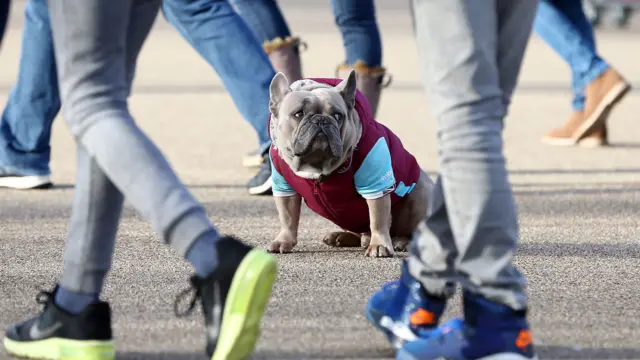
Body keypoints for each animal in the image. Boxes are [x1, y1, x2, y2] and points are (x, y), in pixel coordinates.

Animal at [264, 70, 436, 256]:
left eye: (338, 115)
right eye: (298, 114)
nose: (321, 120)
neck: (316, 163)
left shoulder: (375, 185)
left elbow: (378, 217)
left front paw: (379, 245)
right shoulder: (284, 187)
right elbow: (287, 216)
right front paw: (284, 241)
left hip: (420, 196)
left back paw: (403, 242)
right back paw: (341, 237)